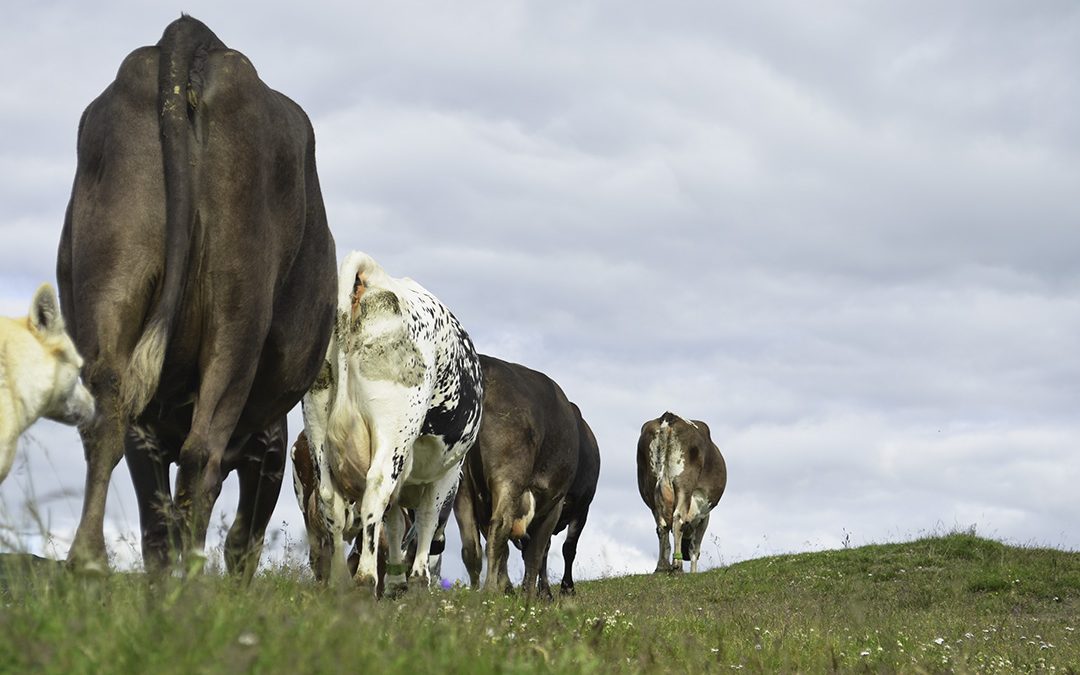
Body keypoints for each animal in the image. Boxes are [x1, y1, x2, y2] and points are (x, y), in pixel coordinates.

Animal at [53, 14, 332, 574]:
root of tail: (194, 37)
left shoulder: (150, 426)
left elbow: (155, 519)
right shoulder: (269, 438)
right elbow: (242, 536)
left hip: (113, 272)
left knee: (108, 418)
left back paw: (88, 560)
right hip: (239, 310)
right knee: (202, 454)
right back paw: (191, 581)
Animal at [298, 248, 479, 596]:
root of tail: (373, 277)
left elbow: (395, 523)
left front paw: (397, 581)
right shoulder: (448, 471)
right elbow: (426, 516)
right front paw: (418, 580)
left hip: (317, 421)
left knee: (330, 499)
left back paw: (339, 583)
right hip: (395, 428)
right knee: (377, 487)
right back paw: (365, 579)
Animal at [451, 356, 596, 596]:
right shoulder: (557, 502)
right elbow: (539, 551)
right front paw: (534, 595)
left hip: (460, 484)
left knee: (471, 544)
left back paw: (476, 594)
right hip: (509, 476)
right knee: (500, 527)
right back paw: (491, 589)